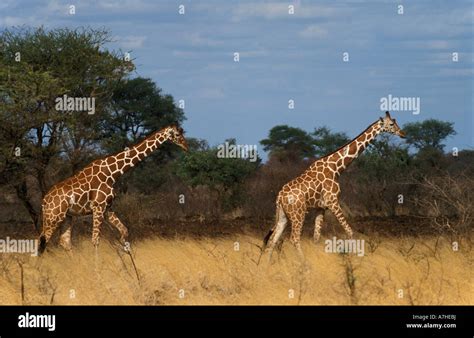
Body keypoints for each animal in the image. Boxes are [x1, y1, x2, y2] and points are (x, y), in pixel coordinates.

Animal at [38, 125, 188, 254]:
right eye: (177, 134)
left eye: (182, 132)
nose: (186, 146)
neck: (112, 173)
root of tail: (44, 201)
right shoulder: (98, 207)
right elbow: (95, 240)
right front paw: (98, 269)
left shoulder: (108, 208)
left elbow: (124, 231)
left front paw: (124, 251)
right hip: (53, 217)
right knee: (42, 241)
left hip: (67, 217)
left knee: (63, 242)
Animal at [262, 112, 406, 260]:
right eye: (391, 124)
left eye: (395, 121)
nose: (403, 133)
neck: (336, 168)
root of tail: (279, 196)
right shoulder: (333, 202)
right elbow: (350, 231)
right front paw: (357, 257)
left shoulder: (321, 207)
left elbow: (316, 237)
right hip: (298, 214)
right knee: (294, 238)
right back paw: (304, 264)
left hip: (283, 215)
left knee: (272, 239)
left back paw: (268, 264)